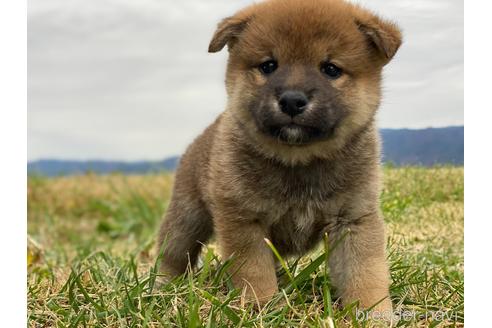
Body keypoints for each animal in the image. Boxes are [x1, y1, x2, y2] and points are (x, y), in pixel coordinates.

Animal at [157, 0, 400, 316]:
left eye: (331, 69)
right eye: (268, 66)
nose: (292, 100)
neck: (299, 162)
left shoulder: (354, 218)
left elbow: (365, 271)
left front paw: (372, 311)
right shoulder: (244, 221)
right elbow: (254, 272)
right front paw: (261, 306)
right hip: (186, 218)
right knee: (172, 253)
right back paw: (161, 287)